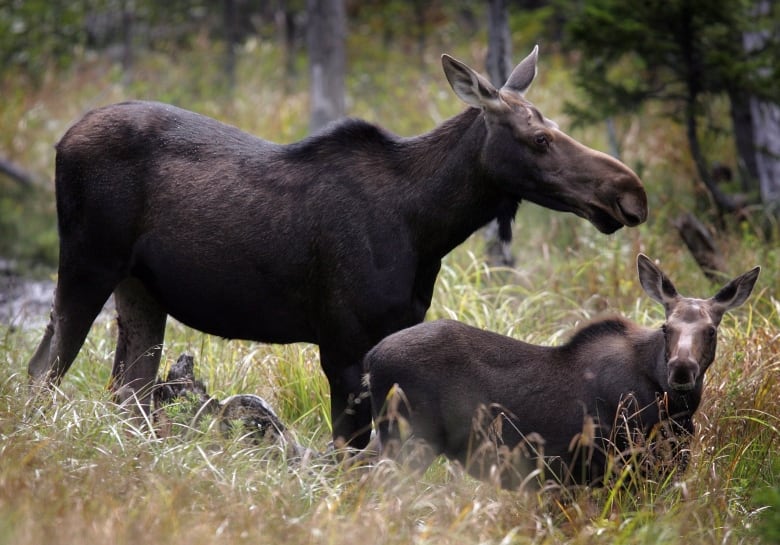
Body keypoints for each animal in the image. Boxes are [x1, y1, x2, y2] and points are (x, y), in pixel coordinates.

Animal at [25, 45, 644, 446]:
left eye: (556, 126)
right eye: (540, 139)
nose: (630, 192)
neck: (427, 227)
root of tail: (59, 141)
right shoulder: (343, 343)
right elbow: (350, 454)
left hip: (141, 290)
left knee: (127, 392)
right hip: (86, 263)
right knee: (43, 369)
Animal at [368, 253, 760, 486]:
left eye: (711, 330)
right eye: (667, 328)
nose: (680, 369)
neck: (677, 411)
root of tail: (370, 360)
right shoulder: (619, 465)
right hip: (410, 439)